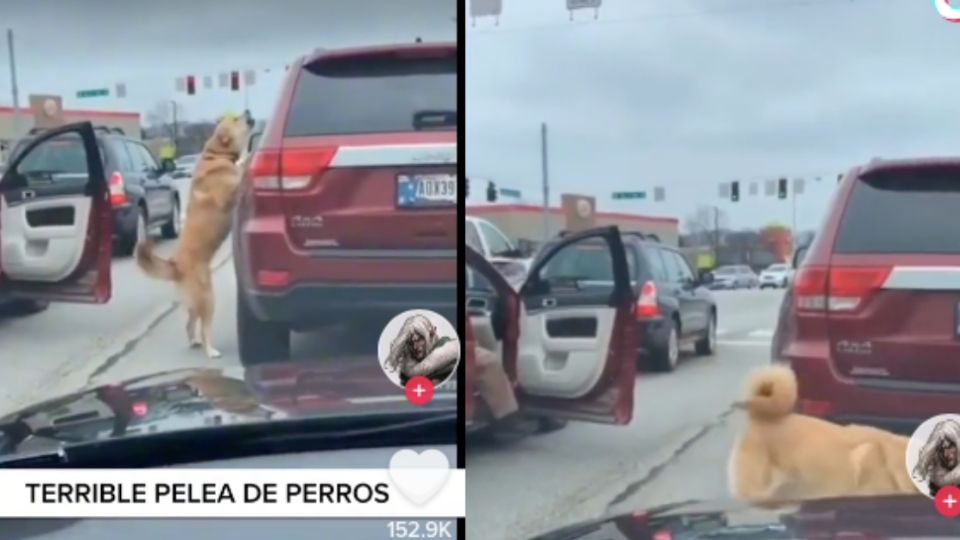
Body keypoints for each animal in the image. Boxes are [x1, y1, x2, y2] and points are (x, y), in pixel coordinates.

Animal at [134, 113, 251, 358]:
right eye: (237, 119)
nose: (247, 113)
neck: (217, 155)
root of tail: (175, 265)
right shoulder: (229, 193)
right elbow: (240, 171)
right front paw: (247, 159)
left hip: (195, 304)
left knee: (189, 325)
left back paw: (194, 342)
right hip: (207, 299)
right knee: (204, 328)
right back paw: (210, 350)